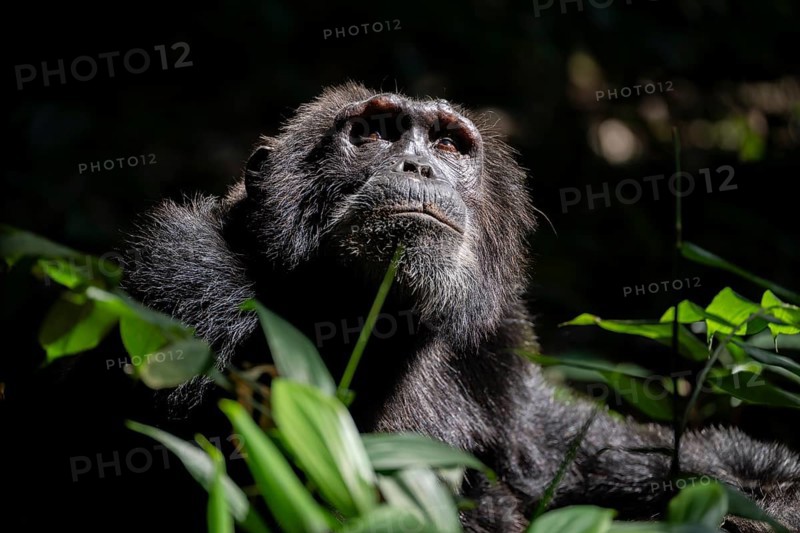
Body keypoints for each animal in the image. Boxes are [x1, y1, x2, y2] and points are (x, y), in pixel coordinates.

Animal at [121, 82, 800, 532]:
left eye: (450, 144)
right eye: (373, 132)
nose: (418, 163)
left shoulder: (496, 347)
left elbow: (570, 455)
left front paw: (762, 491)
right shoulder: (185, 286)